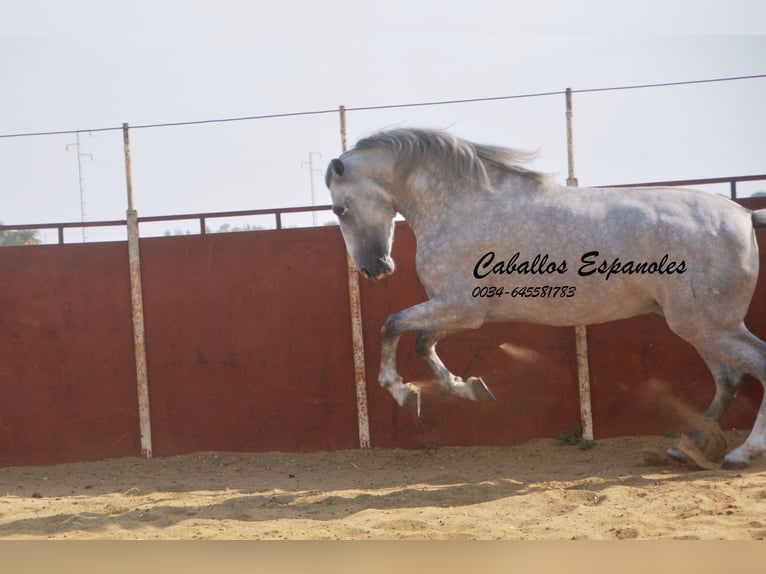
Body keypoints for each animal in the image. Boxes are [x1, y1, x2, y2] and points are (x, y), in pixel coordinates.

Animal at [328, 128, 766, 470]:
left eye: (339, 209)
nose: (374, 267)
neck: (462, 206)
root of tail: (744, 215)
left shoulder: (460, 307)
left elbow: (392, 325)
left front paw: (404, 393)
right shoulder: (461, 312)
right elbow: (421, 341)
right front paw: (467, 388)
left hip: (709, 326)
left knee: (755, 366)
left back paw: (743, 453)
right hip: (702, 327)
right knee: (730, 379)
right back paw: (685, 450)